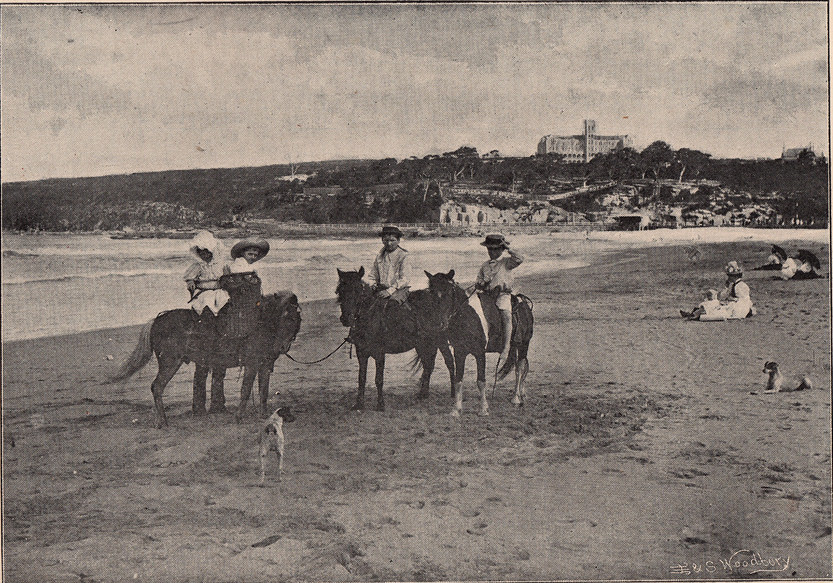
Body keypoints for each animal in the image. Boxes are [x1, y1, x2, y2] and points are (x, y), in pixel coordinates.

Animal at [334, 268, 456, 410]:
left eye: (357, 290)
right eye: (340, 290)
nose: (346, 318)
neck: (370, 317)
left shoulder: (379, 353)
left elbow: (378, 379)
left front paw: (380, 405)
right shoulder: (361, 353)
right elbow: (361, 378)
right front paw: (359, 404)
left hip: (440, 340)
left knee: (449, 362)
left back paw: (453, 393)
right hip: (422, 344)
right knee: (428, 365)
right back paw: (423, 394)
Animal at [422, 272, 532, 418]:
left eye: (448, 292)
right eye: (431, 292)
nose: (439, 323)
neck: (467, 317)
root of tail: (523, 302)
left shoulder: (480, 353)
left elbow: (481, 381)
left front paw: (483, 409)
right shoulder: (459, 353)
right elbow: (458, 380)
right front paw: (456, 409)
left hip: (524, 344)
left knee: (519, 367)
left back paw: (516, 397)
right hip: (513, 347)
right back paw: (522, 394)